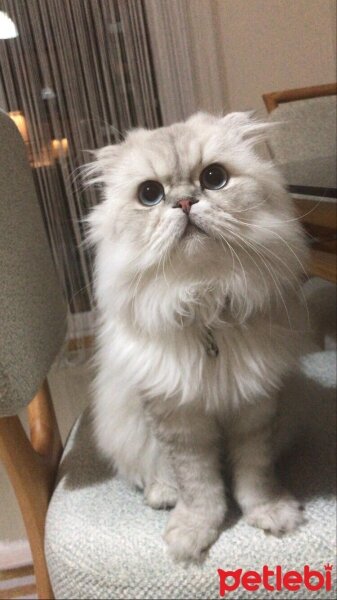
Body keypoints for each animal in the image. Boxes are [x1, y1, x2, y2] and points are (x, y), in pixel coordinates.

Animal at [88, 111, 308, 564]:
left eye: (214, 178)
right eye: (150, 194)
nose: (185, 202)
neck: (206, 304)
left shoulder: (255, 407)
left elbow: (254, 476)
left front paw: (270, 514)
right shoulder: (177, 419)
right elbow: (199, 486)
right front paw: (191, 536)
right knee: (149, 474)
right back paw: (163, 494)